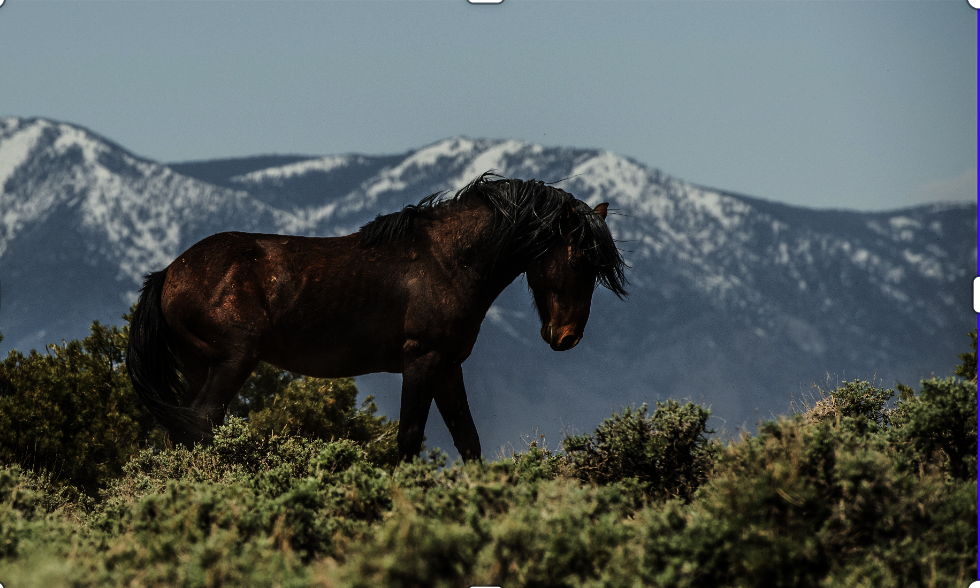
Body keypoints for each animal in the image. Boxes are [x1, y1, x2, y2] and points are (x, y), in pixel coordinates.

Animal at [126, 173, 627, 462]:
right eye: (577, 259)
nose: (566, 336)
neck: (447, 260)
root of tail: (168, 273)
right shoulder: (421, 361)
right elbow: (408, 437)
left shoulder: (448, 366)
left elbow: (468, 440)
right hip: (233, 360)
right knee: (201, 422)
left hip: (201, 365)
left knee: (187, 426)